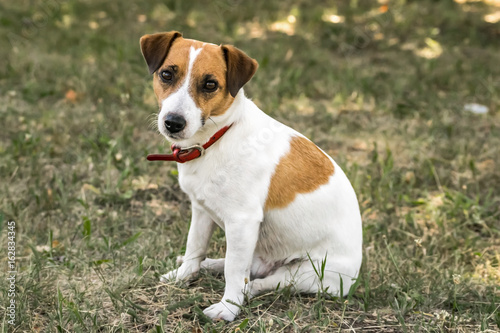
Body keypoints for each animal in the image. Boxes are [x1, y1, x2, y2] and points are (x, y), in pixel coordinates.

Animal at [141, 31, 364, 322]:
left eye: (210, 84)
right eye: (167, 74)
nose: (173, 123)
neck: (219, 136)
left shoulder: (242, 222)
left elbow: (235, 272)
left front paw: (227, 308)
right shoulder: (201, 210)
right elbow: (195, 247)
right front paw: (183, 275)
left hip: (310, 274)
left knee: (259, 281)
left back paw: (243, 292)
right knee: (243, 266)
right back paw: (210, 264)